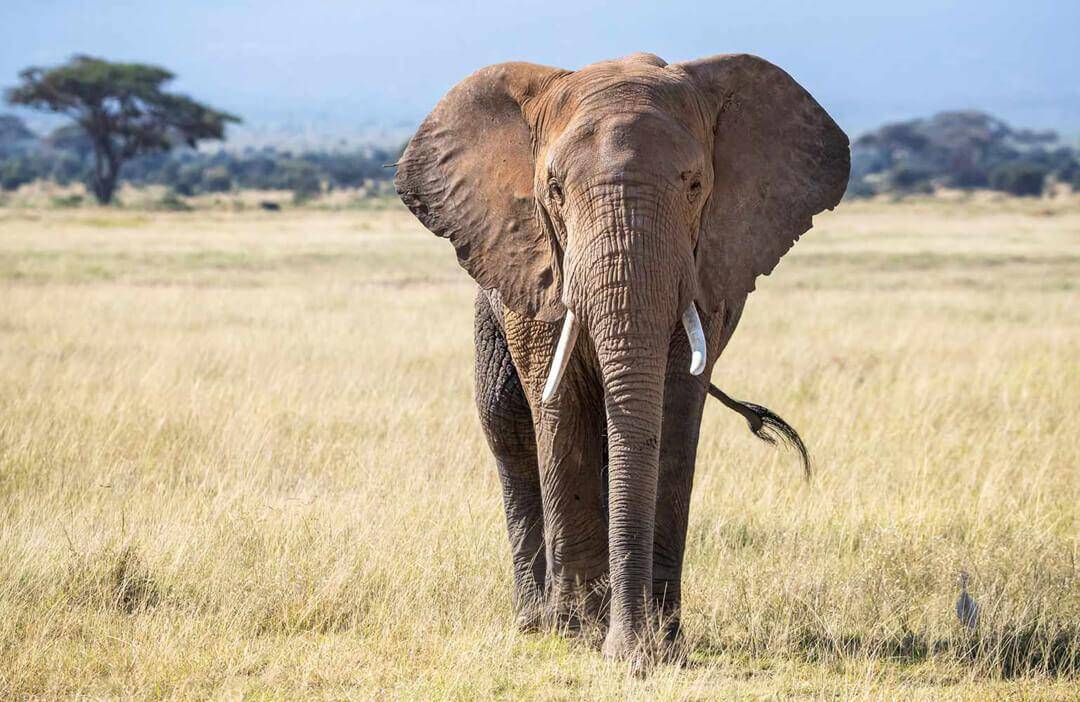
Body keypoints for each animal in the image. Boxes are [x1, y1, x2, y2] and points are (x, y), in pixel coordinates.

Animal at [394, 52, 849, 661]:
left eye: (695, 184)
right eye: (554, 189)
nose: (631, 653)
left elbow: (675, 411)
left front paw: (658, 642)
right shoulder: (538, 262)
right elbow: (560, 405)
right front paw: (580, 636)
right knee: (506, 423)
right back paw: (536, 622)